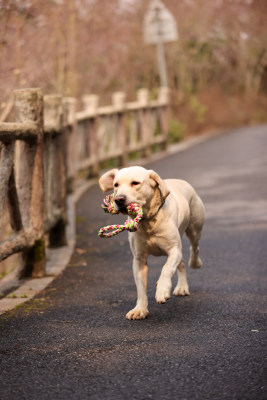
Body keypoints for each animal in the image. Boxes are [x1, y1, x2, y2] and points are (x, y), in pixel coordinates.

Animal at [99, 166, 205, 318]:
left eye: (135, 183)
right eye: (116, 185)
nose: (119, 199)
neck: (148, 222)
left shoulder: (174, 249)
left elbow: (166, 268)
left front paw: (162, 290)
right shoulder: (139, 259)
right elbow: (140, 287)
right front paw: (140, 309)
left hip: (195, 228)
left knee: (194, 248)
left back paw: (195, 264)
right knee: (182, 262)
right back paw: (182, 287)